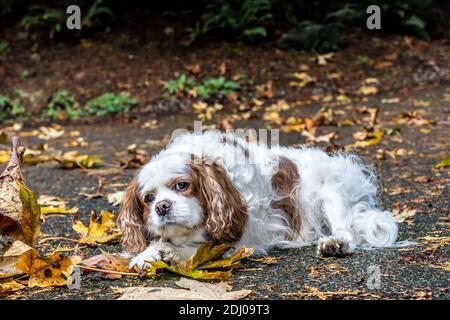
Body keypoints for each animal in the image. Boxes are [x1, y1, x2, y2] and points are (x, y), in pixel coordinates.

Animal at [118, 130, 400, 270]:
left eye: (182, 185)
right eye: (148, 198)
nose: (162, 207)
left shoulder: (243, 239)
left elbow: (199, 249)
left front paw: (170, 252)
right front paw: (148, 254)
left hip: (332, 192)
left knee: (346, 230)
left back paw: (336, 243)